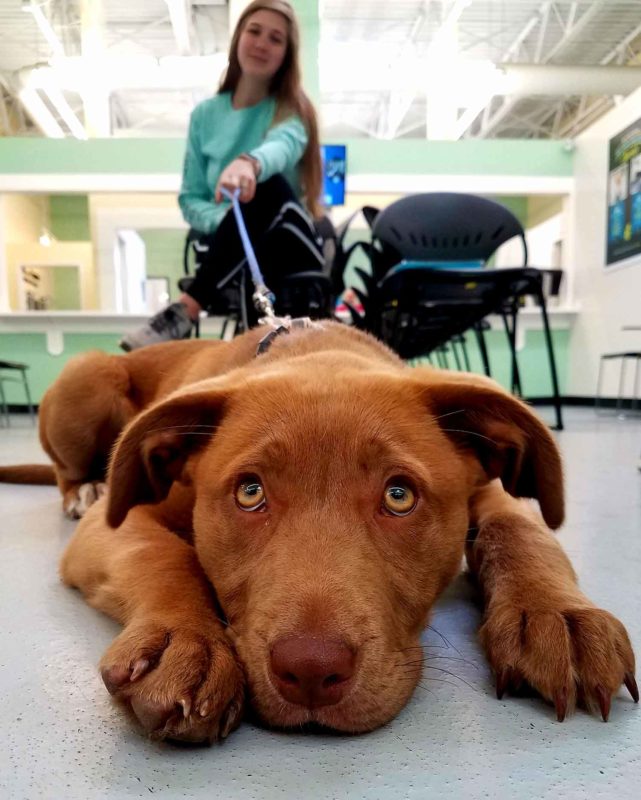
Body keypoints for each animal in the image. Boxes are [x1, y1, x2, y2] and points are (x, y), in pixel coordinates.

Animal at [2, 320, 636, 744]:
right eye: (249, 492)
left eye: (399, 496)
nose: (309, 671)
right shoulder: (118, 521)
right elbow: (160, 553)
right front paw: (186, 643)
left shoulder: (492, 491)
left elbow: (520, 530)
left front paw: (556, 613)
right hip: (89, 375)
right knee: (68, 469)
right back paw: (81, 489)